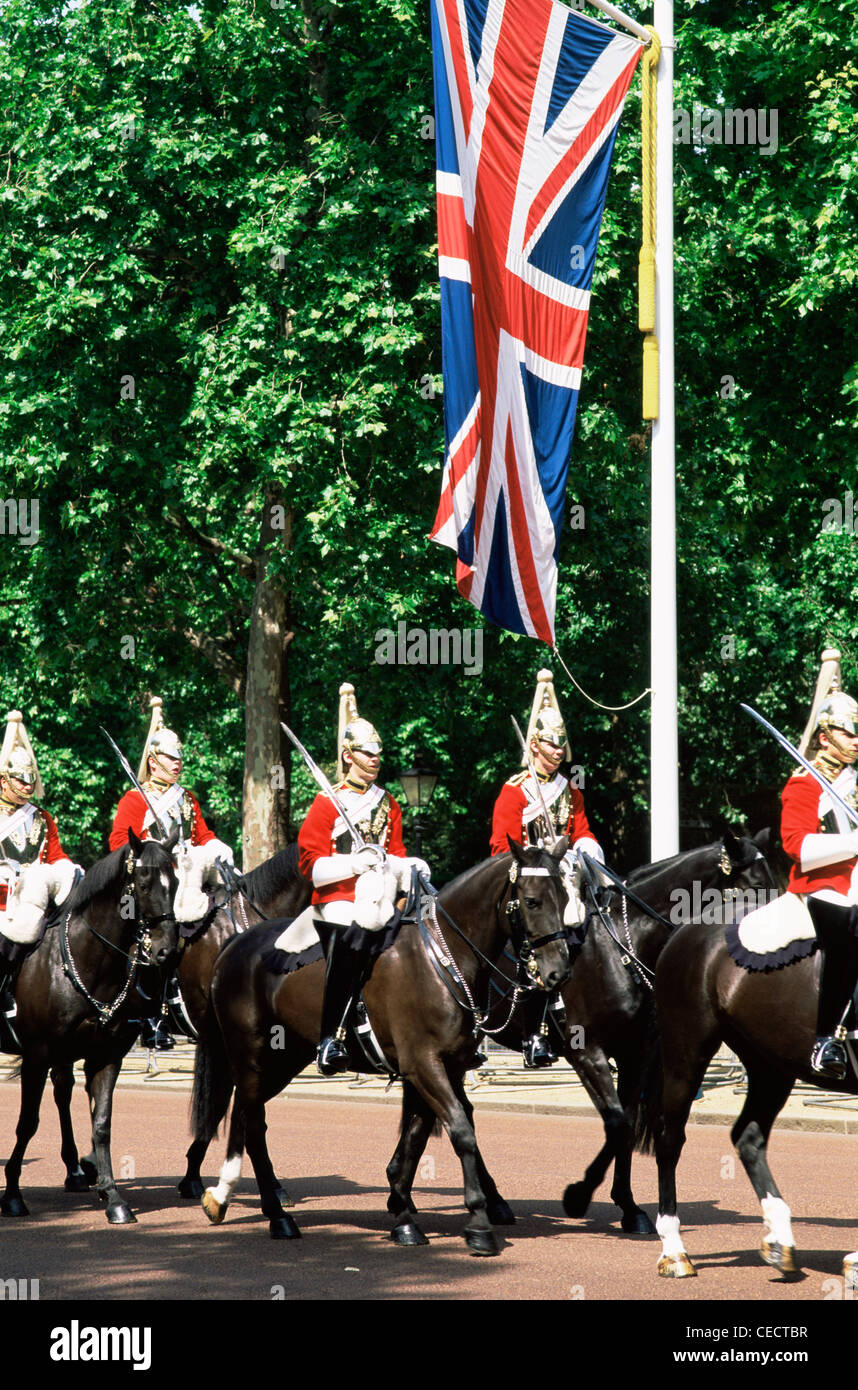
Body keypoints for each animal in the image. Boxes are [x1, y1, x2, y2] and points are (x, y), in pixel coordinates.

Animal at [1, 828, 177, 1223]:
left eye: (174, 882)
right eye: (144, 884)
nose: (166, 951)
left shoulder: (106, 1055)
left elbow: (102, 1124)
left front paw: (112, 1196)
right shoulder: (37, 1053)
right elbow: (27, 1121)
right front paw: (14, 1194)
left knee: (63, 1091)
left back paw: (76, 1171)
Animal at [190, 839, 572, 1256]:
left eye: (566, 896)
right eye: (532, 900)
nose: (559, 971)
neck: (443, 956)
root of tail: (233, 944)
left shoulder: (443, 1067)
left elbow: (419, 1136)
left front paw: (403, 1212)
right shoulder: (424, 1064)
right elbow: (460, 1130)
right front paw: (478, 1223)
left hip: (283, 1059)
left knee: (249, 1116)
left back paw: (237, 1200)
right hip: (252, 1055)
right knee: (250, 1119)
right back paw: (267, 1213)